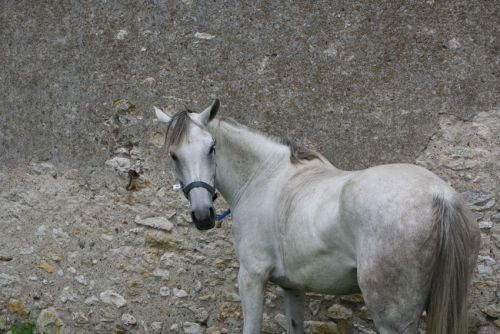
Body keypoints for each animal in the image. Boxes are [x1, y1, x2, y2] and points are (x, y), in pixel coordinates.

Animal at [153, 100, 480, 334]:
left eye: (212, 148)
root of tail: (441, 197)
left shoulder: (251, 277)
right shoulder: (292, 287)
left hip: (392, 319)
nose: (203, 216)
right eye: (174, 155)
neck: (263, 177)